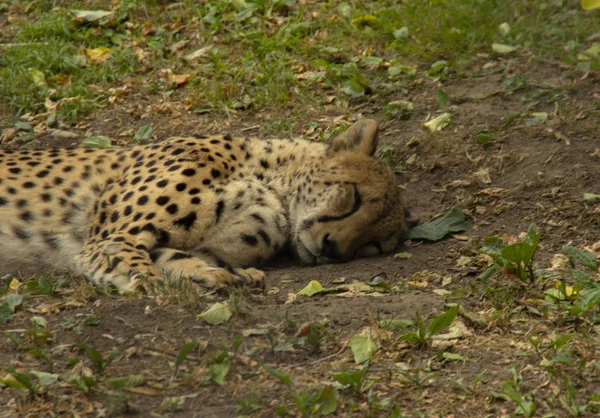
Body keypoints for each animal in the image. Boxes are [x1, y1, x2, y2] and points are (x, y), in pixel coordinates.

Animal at [0, 119, 408, 292]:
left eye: (372, 246)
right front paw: (147, 282)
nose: (334, 248)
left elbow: (173, 256)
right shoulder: (108, 239)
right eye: (353, 198)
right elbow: (131, 260)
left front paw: (219, 274)